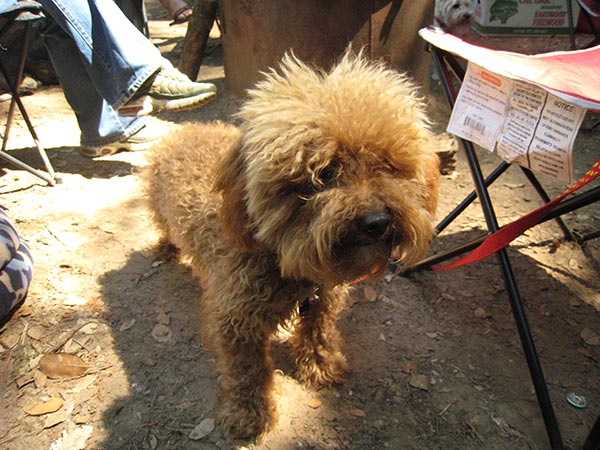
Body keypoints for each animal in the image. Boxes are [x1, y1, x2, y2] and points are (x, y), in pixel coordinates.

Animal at [143, 51, 438, 444]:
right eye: (323, 173)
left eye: (387, 164)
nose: (375, 222)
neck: (284, 259)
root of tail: (186, 129)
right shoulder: (235, 318)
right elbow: (248, 370)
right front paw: (248, 413)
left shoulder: (323, 298)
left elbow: (317, 331)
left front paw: (320, 366)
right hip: (159, 207)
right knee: (162, 225)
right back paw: (165, 248)